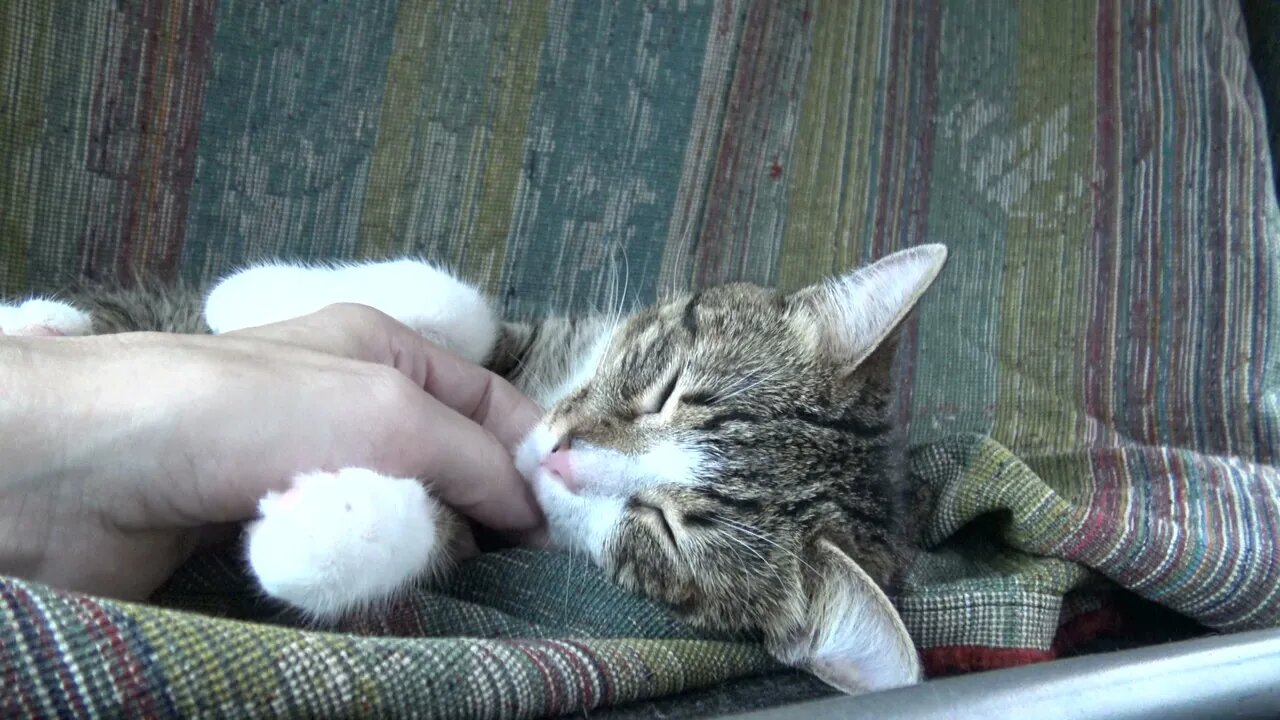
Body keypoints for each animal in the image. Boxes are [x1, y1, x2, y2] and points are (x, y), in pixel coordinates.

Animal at [2, 243, 952, 691]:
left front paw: (325, 532)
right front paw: (251, 293)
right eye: (666, 389)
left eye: (668, 531)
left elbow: (440, 533)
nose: (561, 455)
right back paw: (43, 318)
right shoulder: (526, 346)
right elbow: (470, 310)